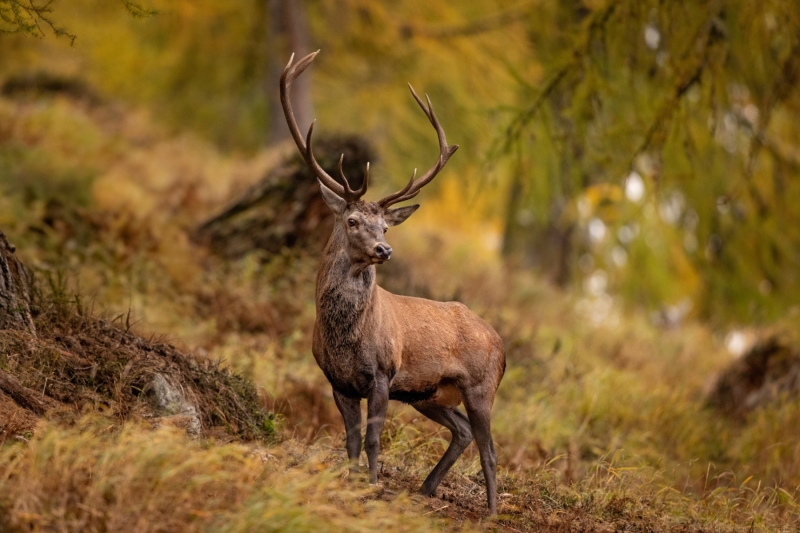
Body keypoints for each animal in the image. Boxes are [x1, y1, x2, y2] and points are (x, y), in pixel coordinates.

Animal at [280, 51, 506, 515]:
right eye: (352, 220)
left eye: (385, 226)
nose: (385, 250)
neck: (344, 338)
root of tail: (503, 345)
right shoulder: (338, 381)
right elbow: (349, 440)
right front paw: (350, 483)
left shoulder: (383, 373)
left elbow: (372, 438)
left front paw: (371, 486)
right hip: (430, 394)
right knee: (462, 431)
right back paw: (425, 488)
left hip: (481, 385)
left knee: (491, 449)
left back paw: (492, 511)